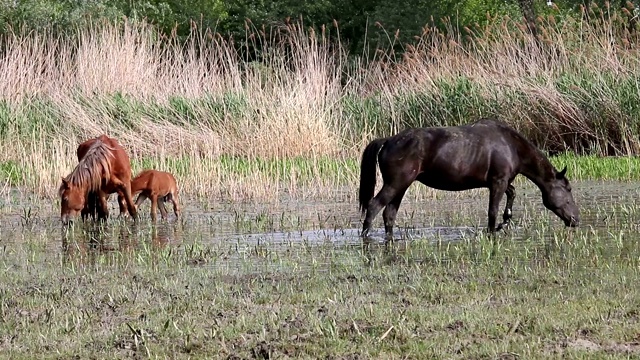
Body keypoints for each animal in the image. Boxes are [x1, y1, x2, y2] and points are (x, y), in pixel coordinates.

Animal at [360, 117, 580, 239]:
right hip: (395, 184)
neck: (511, 146)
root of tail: (388, 140)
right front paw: (493, 230)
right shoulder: (498, 182)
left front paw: (505, 221)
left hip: (401, 187)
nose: (576, 220)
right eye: (567, 191)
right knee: (373, 206)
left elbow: (512, 195)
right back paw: (365, 237)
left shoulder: (502, 181)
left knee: (389, 215)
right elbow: (492, 211)